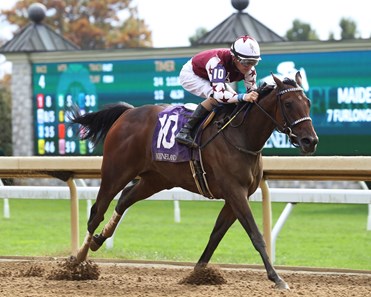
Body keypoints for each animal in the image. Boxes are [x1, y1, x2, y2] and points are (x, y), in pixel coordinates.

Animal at [70, 72, 320, 290]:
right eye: (288, 104)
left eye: (307, 102)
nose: (310, 141)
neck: (240, 135)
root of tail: (127, 113)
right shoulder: (235, 192)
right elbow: (256, 235)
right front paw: (277, 278)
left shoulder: (236, 196)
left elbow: (216, 234)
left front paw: (197, 273)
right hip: (116, 172)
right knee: (96, 213)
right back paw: (76, 262)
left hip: (156, 179)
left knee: (124, 200)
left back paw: (98, 240)